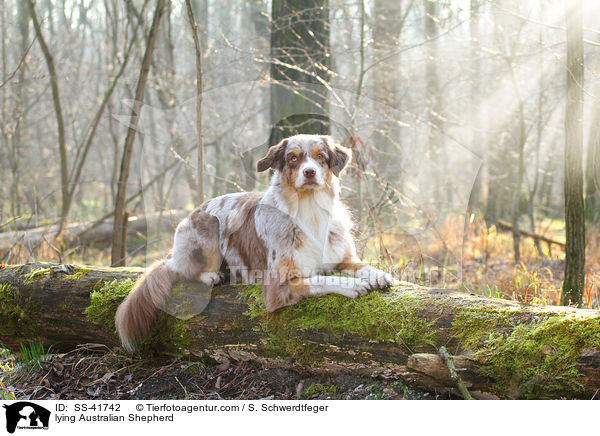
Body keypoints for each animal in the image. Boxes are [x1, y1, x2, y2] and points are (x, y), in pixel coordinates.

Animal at [115, 135, 396, 352]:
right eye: (293, 158)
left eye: (320, 156)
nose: (309, 172)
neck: (309, 209)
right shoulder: (277, 286)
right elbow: (321, 279)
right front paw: (353, 285)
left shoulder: (342, 257)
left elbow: (359, 265)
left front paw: (378, 275)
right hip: (208, 225)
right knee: (186, 271)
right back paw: (212, 276)